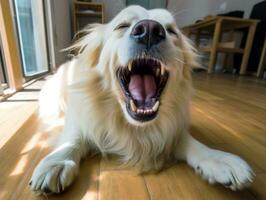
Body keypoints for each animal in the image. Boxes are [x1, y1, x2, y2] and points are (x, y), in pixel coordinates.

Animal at [29, 5, 254, 194]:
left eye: (171, 31)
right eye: (122, 26)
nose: (149, 30)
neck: (134, 127)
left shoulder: (169, 130)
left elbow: (187, 140)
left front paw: (217, 158)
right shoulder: (80, 119)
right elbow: (73, 139)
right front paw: (57, 162)